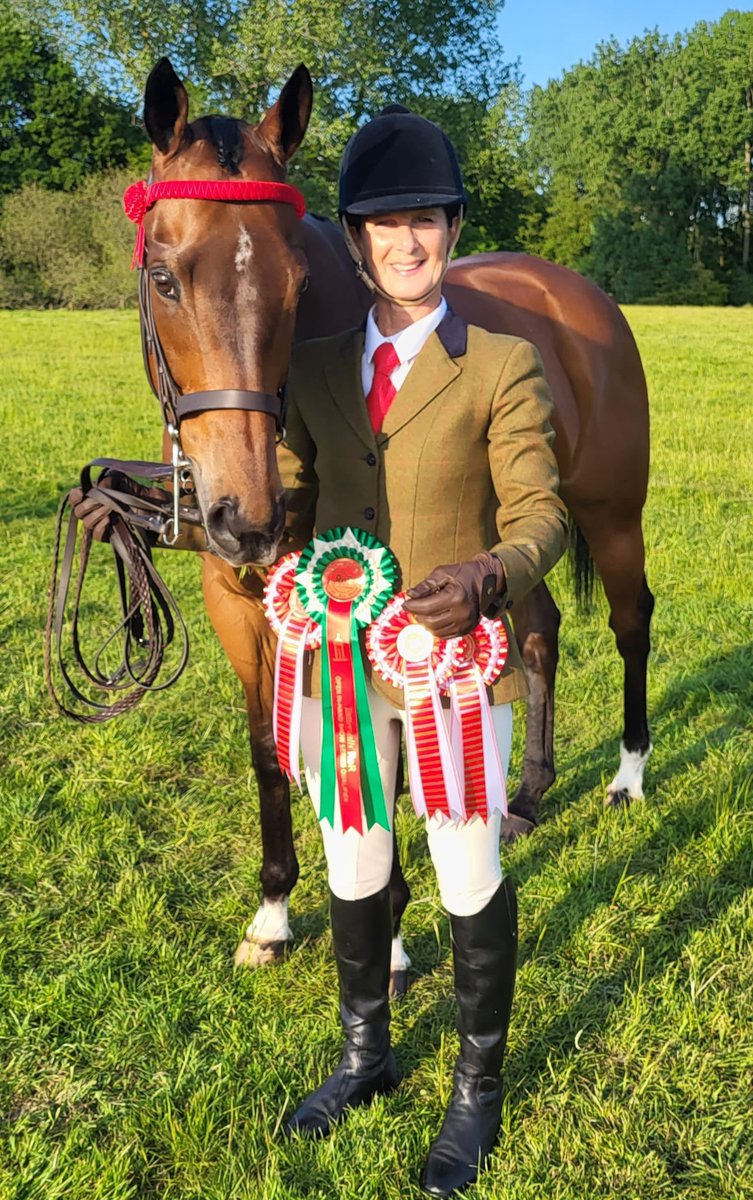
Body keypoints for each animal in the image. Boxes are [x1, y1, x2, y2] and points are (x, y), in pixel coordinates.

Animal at [138, 59, 653, 993]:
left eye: (298, 284)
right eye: (165, 279)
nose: (250, 517)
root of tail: (576, 291)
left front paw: (387, 941)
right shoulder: (238, 601)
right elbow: (269, 751)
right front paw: (273, 915)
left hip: (608, 512)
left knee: (630, 622)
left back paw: (628, 776)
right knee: (538, 635)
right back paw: (525, 796)